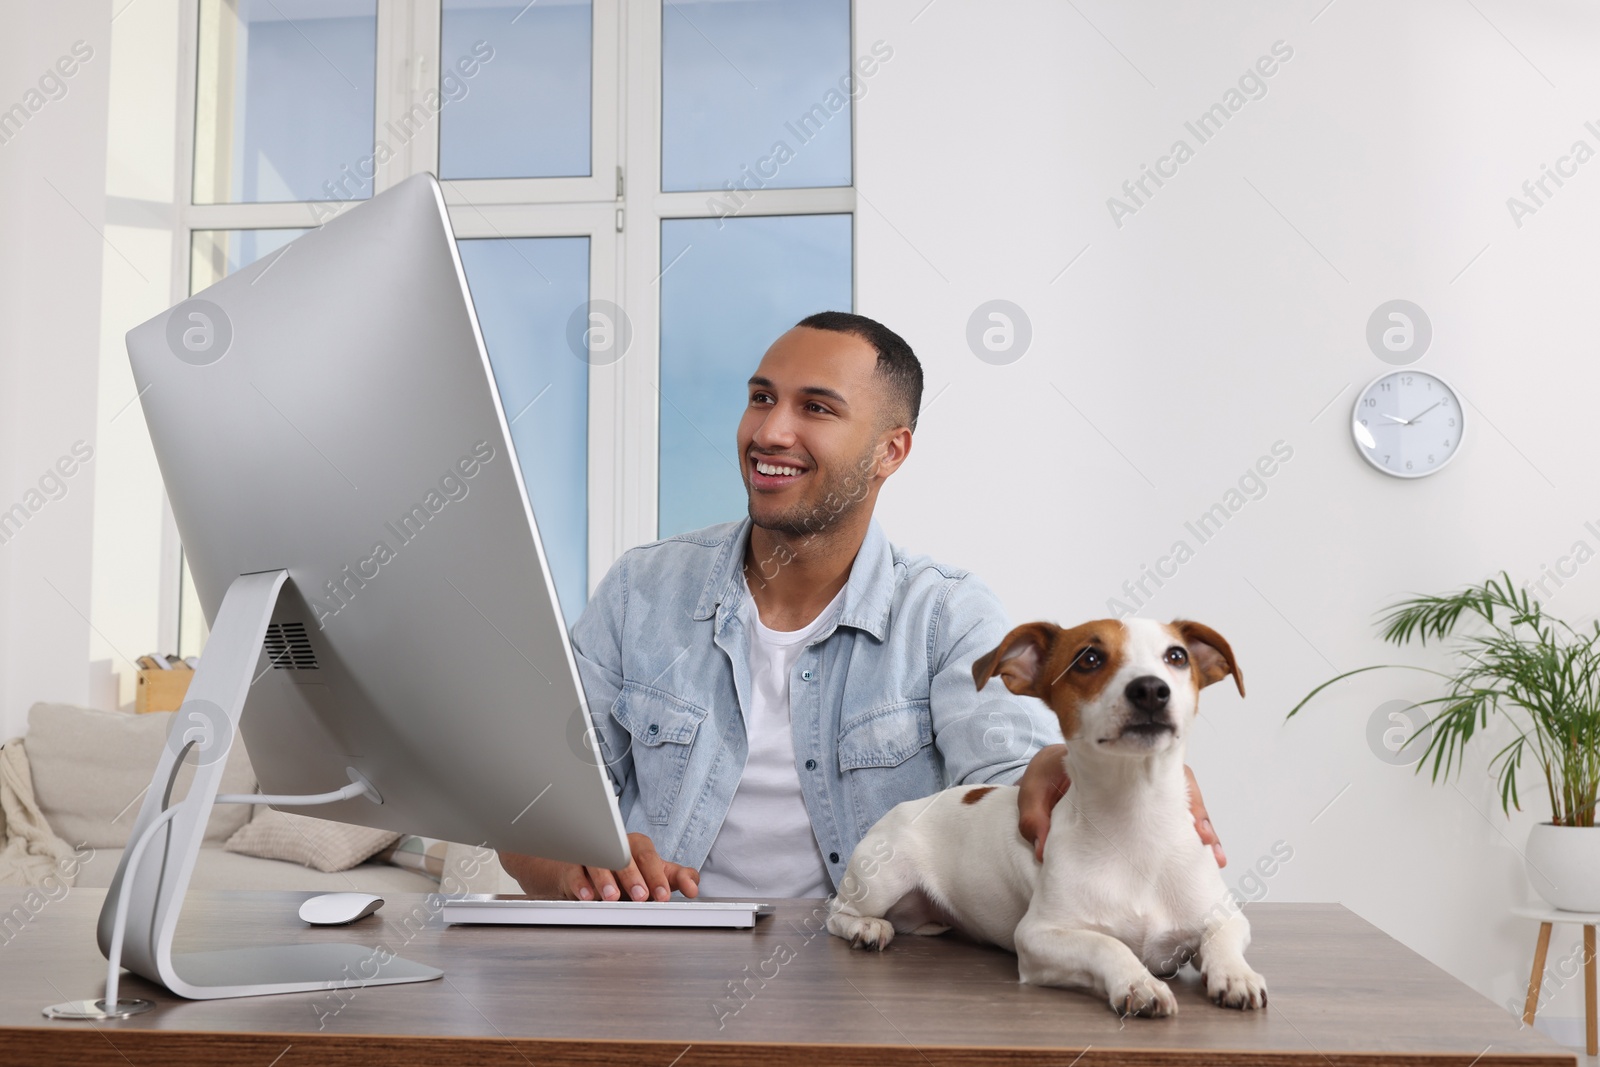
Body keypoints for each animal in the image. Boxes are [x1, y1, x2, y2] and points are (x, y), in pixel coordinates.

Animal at [825, 617, 1260, 1017]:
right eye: (1088, 659)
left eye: (1177, 656)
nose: (1151, 689)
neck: (1136, 817)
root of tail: (903, 809)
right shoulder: (1038, 937)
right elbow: (1106, 943)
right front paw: (1138, 981)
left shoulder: (1223, 916)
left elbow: (1221, 937)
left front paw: (1236, 974)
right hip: (882, 879)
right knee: (836, 913)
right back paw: (866, 927)